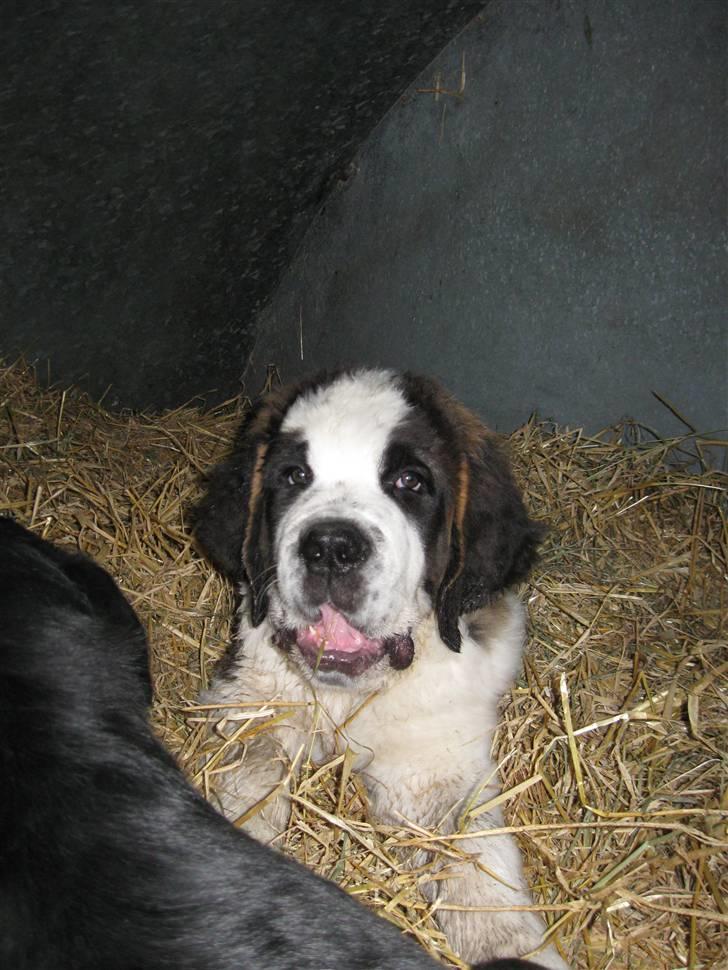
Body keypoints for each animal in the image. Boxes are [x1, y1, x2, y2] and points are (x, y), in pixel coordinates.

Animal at [195, 368, 568, 968]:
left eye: (410, 482)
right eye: (295, 475)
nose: (330, 546)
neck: (348, 697)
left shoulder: (432, 758)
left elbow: (475, 854)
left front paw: (509, 945)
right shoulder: (251, 698)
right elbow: (249, 777)